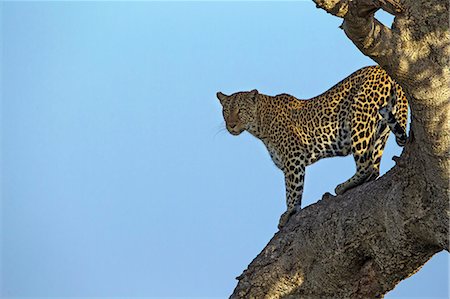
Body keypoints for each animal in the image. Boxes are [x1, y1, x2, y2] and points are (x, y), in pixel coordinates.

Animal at [216, 66, 410, 230]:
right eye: (225, 111)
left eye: (241, 110)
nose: (231, 125)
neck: (261, 124)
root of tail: (382, 69)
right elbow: (290, 188)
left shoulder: (294, 158)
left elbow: (292, 188)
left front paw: (290, 212)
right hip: (381, 131)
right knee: (374, 168)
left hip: (360, 116)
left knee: (366, 165)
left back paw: (343, 186)